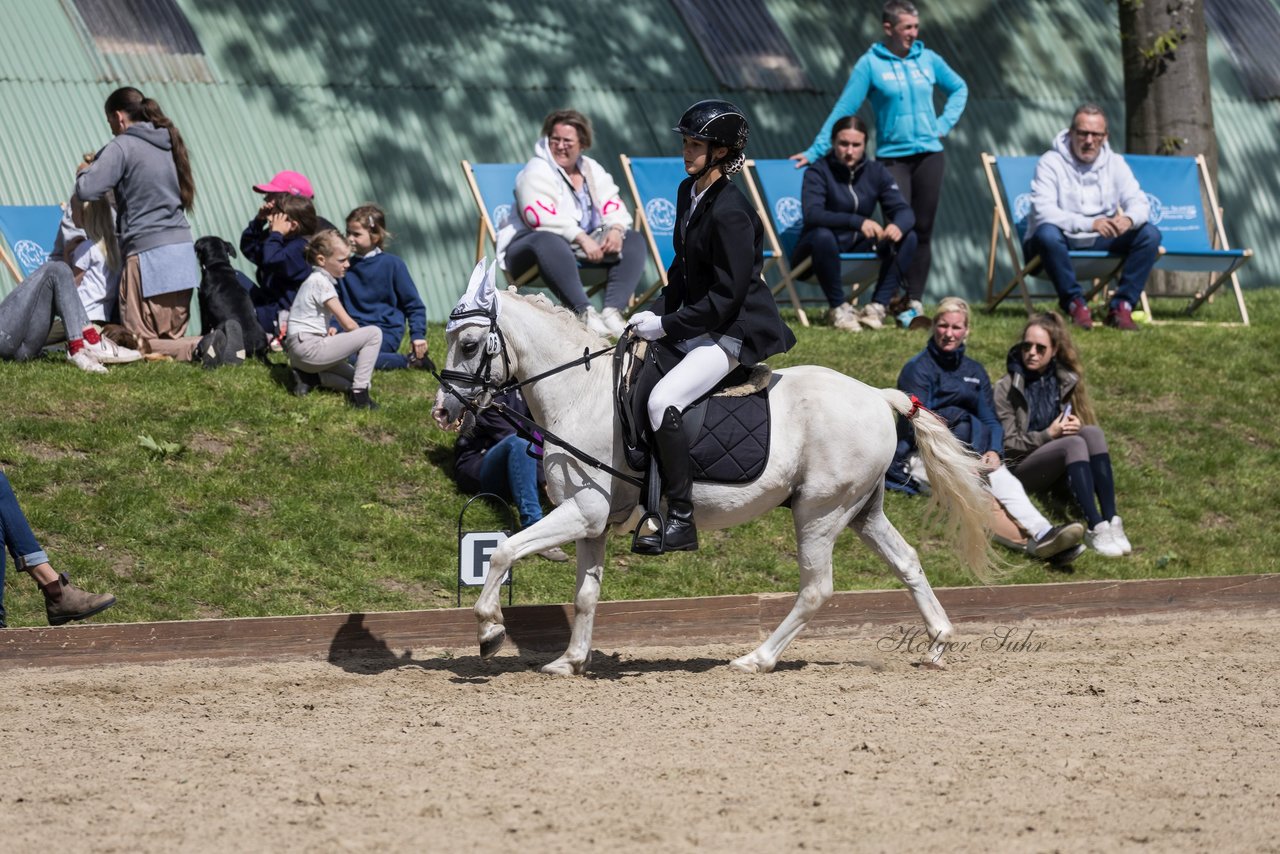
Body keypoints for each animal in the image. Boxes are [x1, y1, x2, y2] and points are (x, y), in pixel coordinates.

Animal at [435, 261, 993, 676]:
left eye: (469, 344)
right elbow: (586, 594)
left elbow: (503, 549)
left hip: (818, 512)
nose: (443, 411)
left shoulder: (582, 510)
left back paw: (756, 659)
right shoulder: (594, 522)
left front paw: (489, 630)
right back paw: (938, 642)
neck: (582, 392)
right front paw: (570, 660)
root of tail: (877, 396)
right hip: (860, 511)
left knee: (816, 589)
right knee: (908, 562)